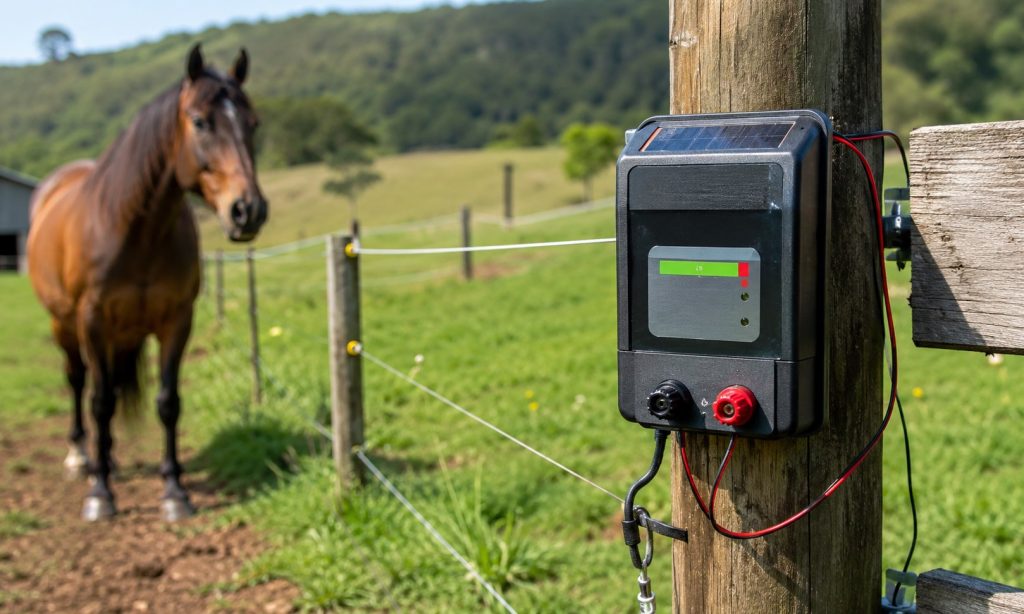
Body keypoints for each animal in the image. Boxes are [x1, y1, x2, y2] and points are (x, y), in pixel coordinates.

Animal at [27, 44, 267, 522]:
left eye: (252, 123)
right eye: (200, 121)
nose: (247, 210)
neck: (133, 229)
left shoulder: (176, 321)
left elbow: (167, 402)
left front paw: (174, 491)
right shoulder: (93, 322)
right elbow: (100, 402)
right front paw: (100, 494)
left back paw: (110, 457)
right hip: (65, 325)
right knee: (79, 382)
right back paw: (81, 457)